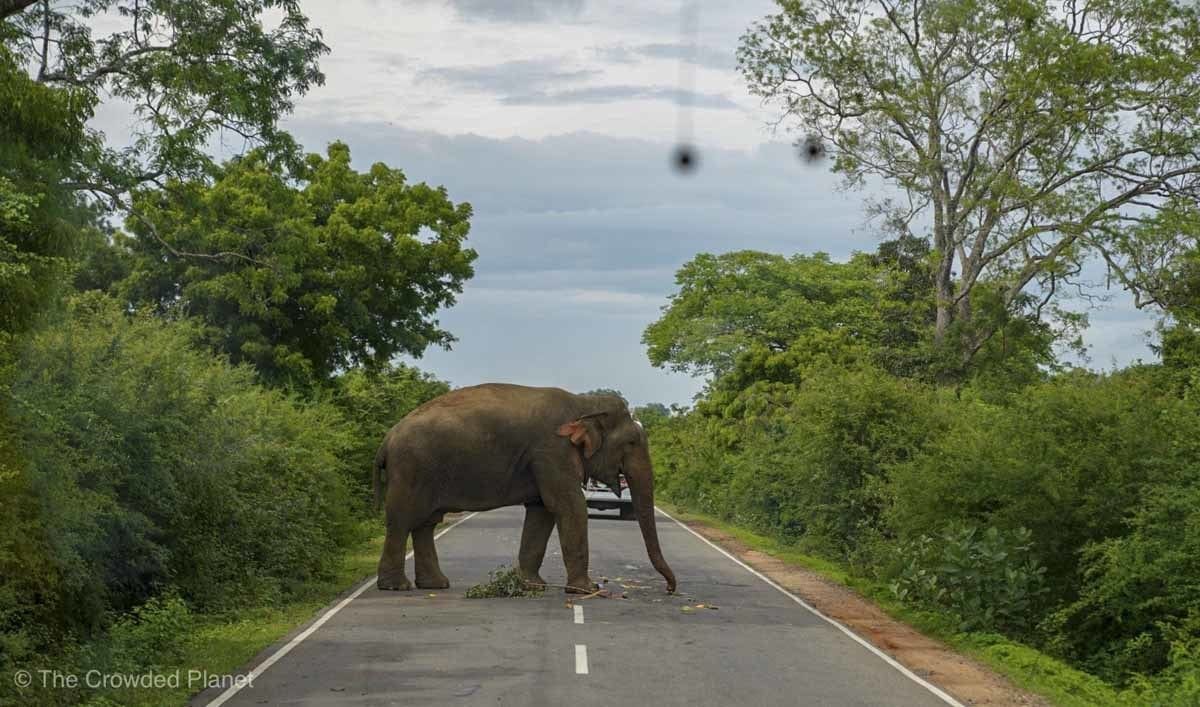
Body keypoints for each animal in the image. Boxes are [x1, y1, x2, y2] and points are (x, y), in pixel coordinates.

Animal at [369, 384, 676, 592]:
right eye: (631, 443)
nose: (670, 588)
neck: (583, 404)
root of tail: (385, 442)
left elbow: (542, 511)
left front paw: (531, 586)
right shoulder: (552, 451)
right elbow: (569, 506)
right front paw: (587, 590)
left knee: (426, 524)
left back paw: (435, 585)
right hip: (410, 470)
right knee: (402, 521)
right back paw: (396, 587)